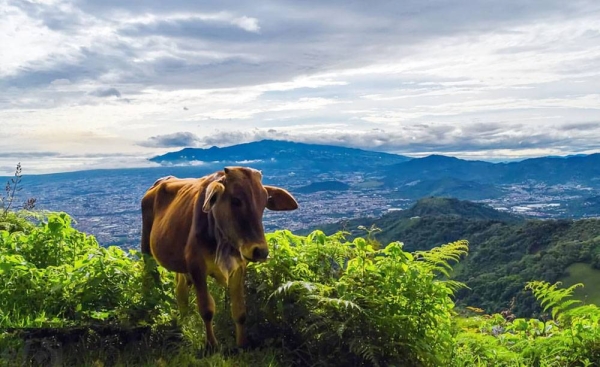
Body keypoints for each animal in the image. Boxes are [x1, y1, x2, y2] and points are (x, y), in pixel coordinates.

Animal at [141, 167, 300, 348]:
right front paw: (211, 345)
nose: (260, 251)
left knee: (180, 290)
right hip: (147, 251)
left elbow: (239, 310)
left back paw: (184, 323)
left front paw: (241, 344)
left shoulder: (239, 267)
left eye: (264, 202)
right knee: (149, 281)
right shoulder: (196, 266)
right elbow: (206, 309)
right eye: (236, 200)